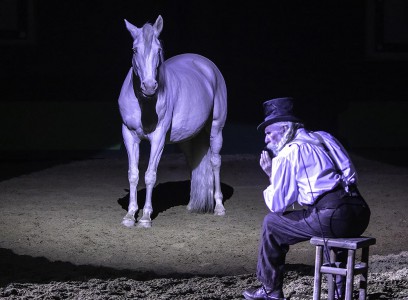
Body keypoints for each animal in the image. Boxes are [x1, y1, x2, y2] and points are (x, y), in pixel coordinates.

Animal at [118, 15, 228, 227]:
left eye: (158, 50)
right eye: (134, 50)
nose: (149, 87)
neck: (144, 104)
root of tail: (206, 65)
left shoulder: (158, 137)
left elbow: (150, 175)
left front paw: (145, 217)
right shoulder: (129, 135)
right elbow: (133, 174)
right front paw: (129, 215)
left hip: (216, 129)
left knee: (215, 162)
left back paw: (219, 207)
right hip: (187, 138)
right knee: (194, 163)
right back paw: (192, 205)